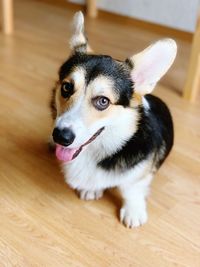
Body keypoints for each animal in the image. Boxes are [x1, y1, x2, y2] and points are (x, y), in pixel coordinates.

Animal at [50, 12, 177, 228]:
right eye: (67, 87)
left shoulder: (140, 174)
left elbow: (132, 189)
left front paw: (134, 211)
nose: (60, 137)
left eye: (103, 101)